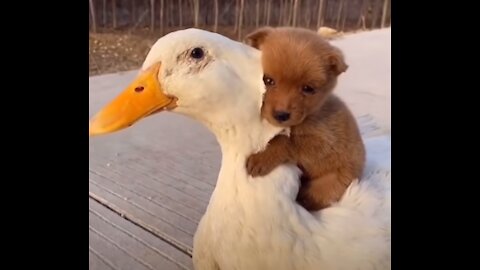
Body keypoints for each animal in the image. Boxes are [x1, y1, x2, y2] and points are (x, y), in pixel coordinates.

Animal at [246, 26, 366, 211]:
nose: (281, 115)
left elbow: (286, 141)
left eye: (308, 88)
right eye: (267, 80)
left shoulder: (323, 143)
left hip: (333, 182)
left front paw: (262, 158)